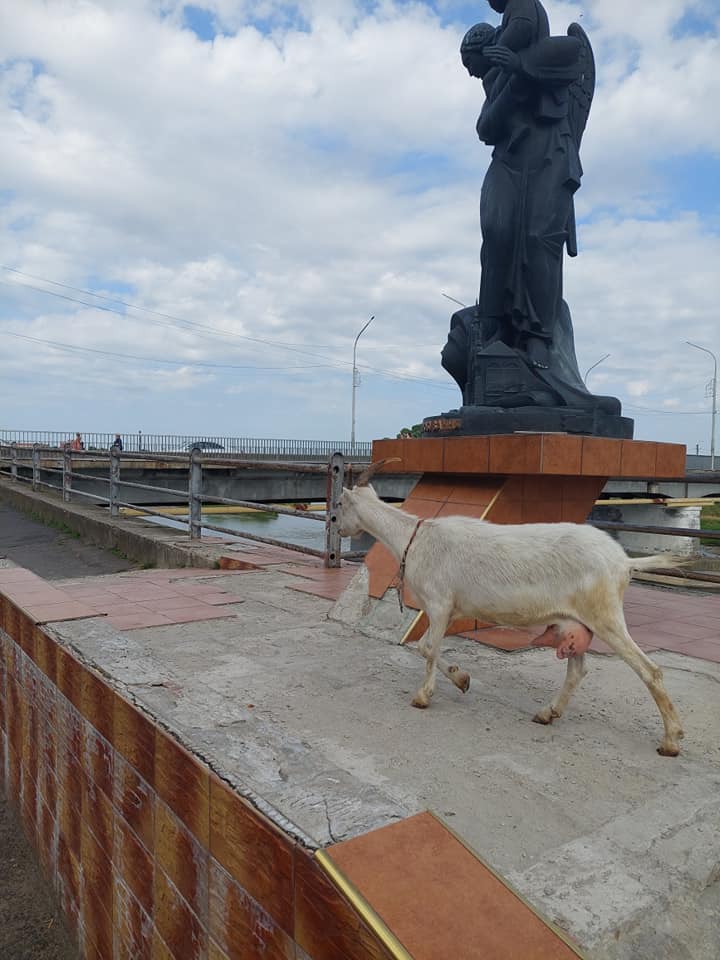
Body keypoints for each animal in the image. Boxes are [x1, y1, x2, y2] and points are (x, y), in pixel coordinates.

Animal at [339, 461, 685, 756]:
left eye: (341, 504)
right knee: (577, 669)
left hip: (604, 614)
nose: (339, 529)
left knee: (649, 670)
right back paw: (547, 713)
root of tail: (623, 561)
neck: (415, 539)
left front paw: (424, 696)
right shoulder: (448, 611)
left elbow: (426, 648)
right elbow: (429, 648)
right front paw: (462, 679)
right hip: (576, 621)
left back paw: (671, 740)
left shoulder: (438, 604)